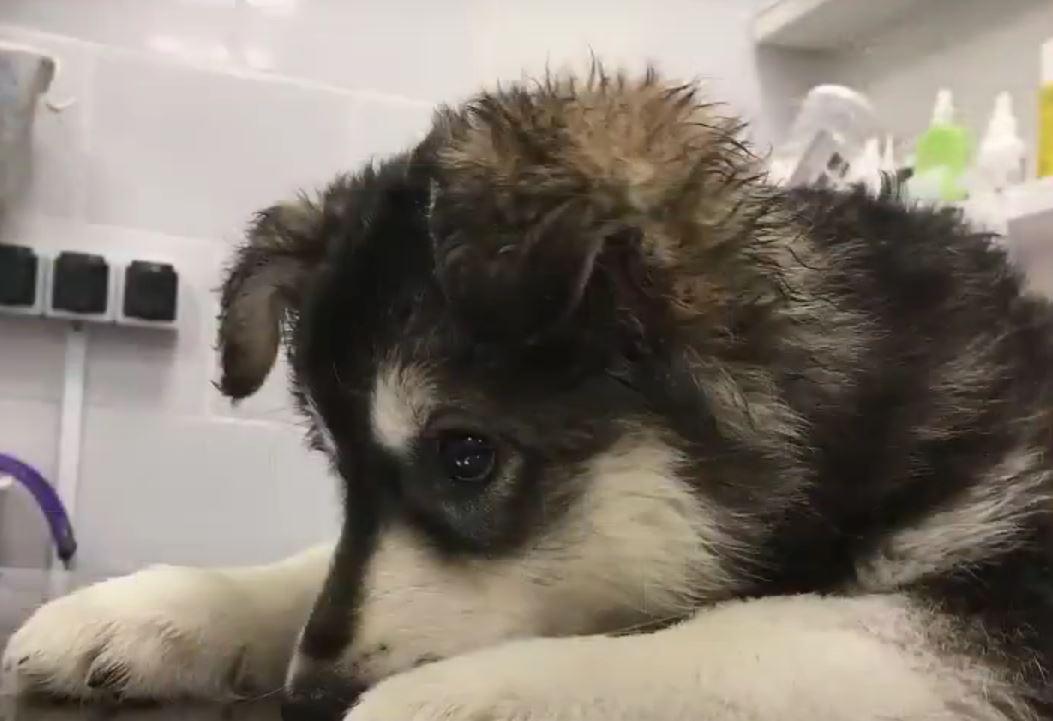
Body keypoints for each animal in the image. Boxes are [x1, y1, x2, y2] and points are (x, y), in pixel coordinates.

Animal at [8, 67, 1053, 719]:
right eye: (339, 467)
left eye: (467, 456)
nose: (306, 697)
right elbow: (315, 567)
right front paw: (148, 610)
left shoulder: (1013, 607)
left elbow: (761, 630)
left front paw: (472, 693)